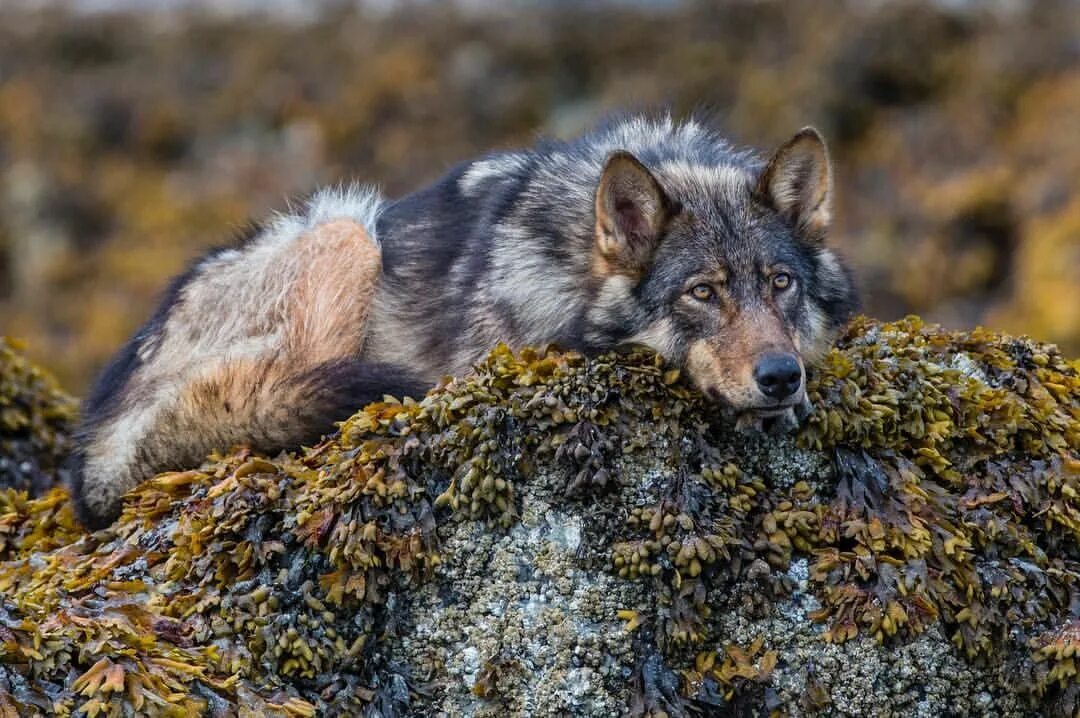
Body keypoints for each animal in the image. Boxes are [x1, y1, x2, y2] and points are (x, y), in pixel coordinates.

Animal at [67, 113, 859, 526]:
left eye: (781, 283)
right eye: (701, 293)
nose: (780, 377)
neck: (569, 266)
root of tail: (94, 444)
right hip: (345, 227)